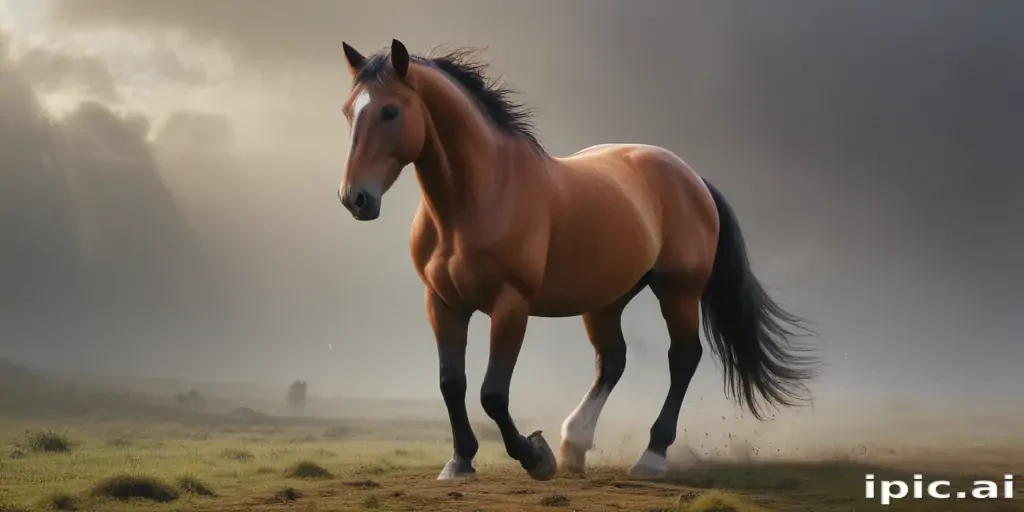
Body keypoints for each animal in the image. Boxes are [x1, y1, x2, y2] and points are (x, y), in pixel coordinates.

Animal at [336, 39, 817, 482]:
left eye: (390, 112)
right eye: (347, 112)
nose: (354, 199)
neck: (477, 198)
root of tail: (691, 176)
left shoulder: (511, 305)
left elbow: (493, 393)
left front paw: (535, 456)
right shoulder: (443, 303)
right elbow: (451, 384)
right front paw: (460, 462)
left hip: (678, 291)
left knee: (682, 358)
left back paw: (650, 456)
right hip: (606, 301)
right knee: (613, 361)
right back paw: (575, 444)